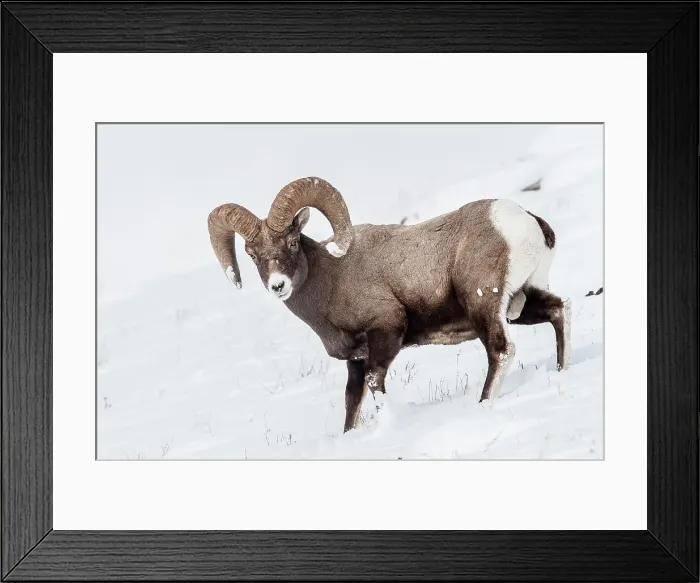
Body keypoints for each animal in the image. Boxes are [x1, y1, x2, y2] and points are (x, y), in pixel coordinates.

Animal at [208, 177, 572, 432]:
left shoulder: (385, 333)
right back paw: (562, 370)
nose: (278, 286)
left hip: (484, 307)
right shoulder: (355, 359)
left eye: (293, 242)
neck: (332, 279)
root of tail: (527, 222)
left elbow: (374, 384)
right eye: (252, 255)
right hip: (522, 301)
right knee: (558, 310)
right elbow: (351, 401)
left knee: (501, 351)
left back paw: (483, 404)